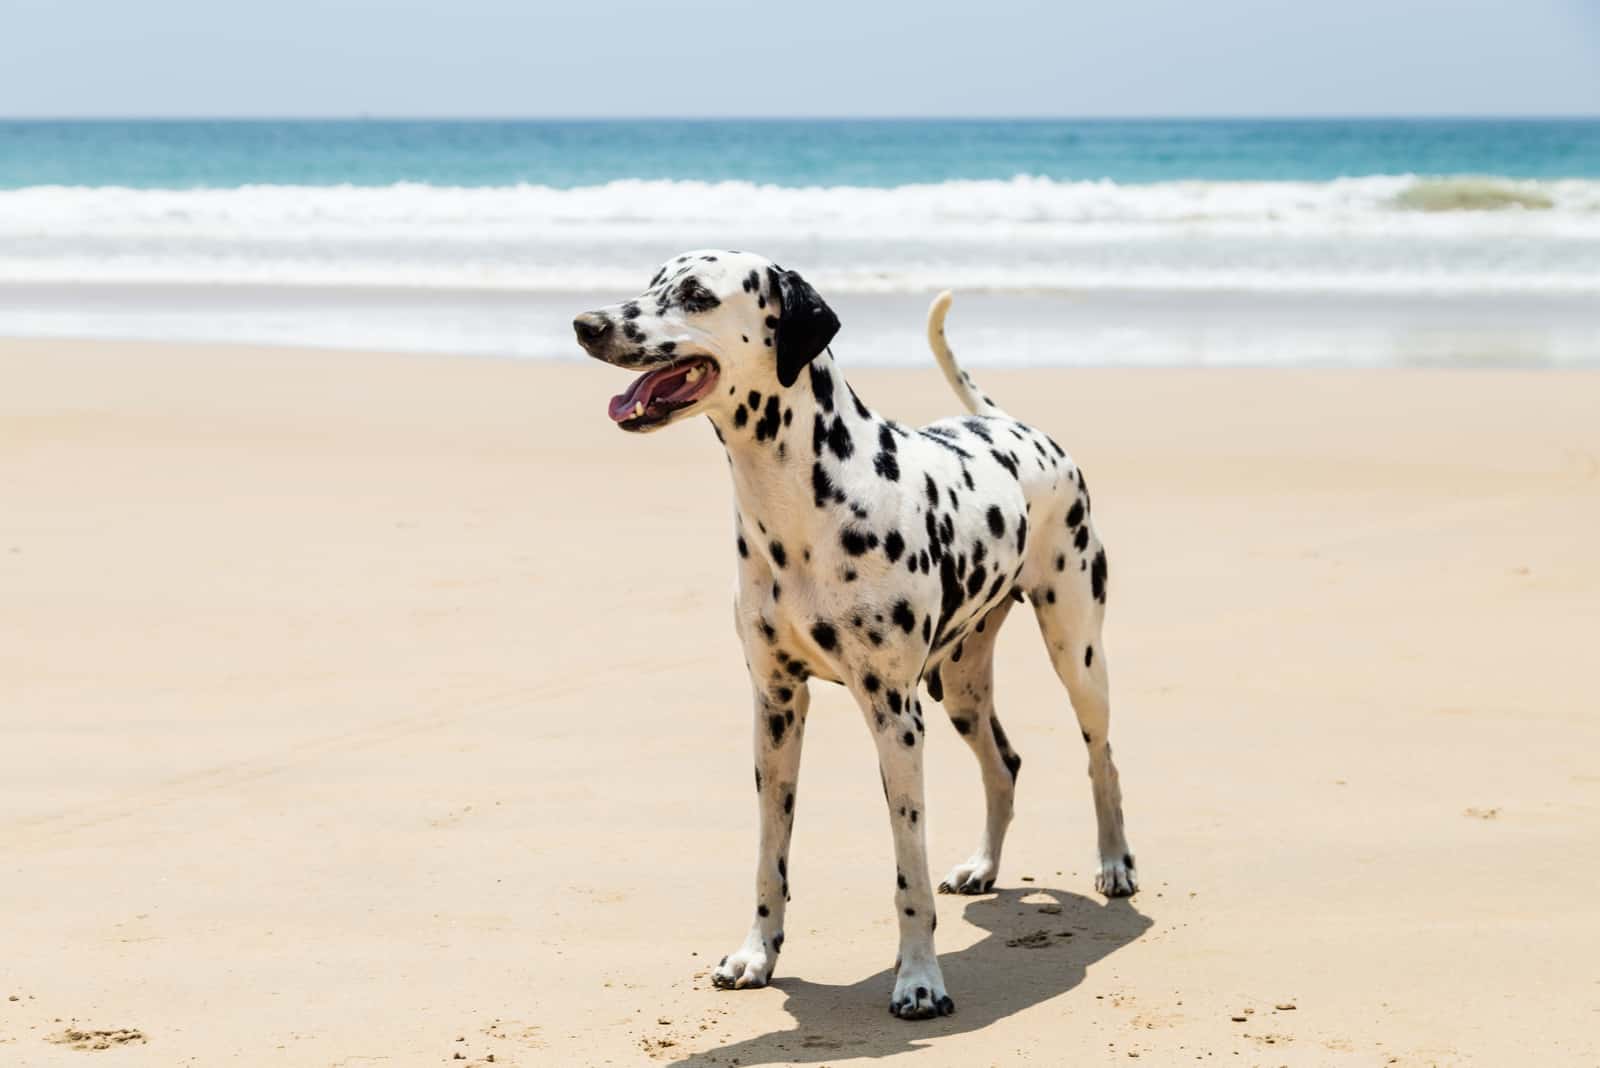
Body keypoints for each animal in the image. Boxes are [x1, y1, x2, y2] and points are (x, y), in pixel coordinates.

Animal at [576, 254, 1139, 1023]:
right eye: (652, 278)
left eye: (694, 295)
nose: (586, 323)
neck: (799, 510)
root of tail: (1011, 425)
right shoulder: (776, 709)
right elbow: (770, 857)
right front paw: (756, 955)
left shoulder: (894, 717)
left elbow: (909, 875)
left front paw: (920, 979)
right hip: (959, 686)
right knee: (1004, 764)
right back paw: (984, 866)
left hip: (1076, 651)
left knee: (1101, 759)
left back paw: (1115, 863)